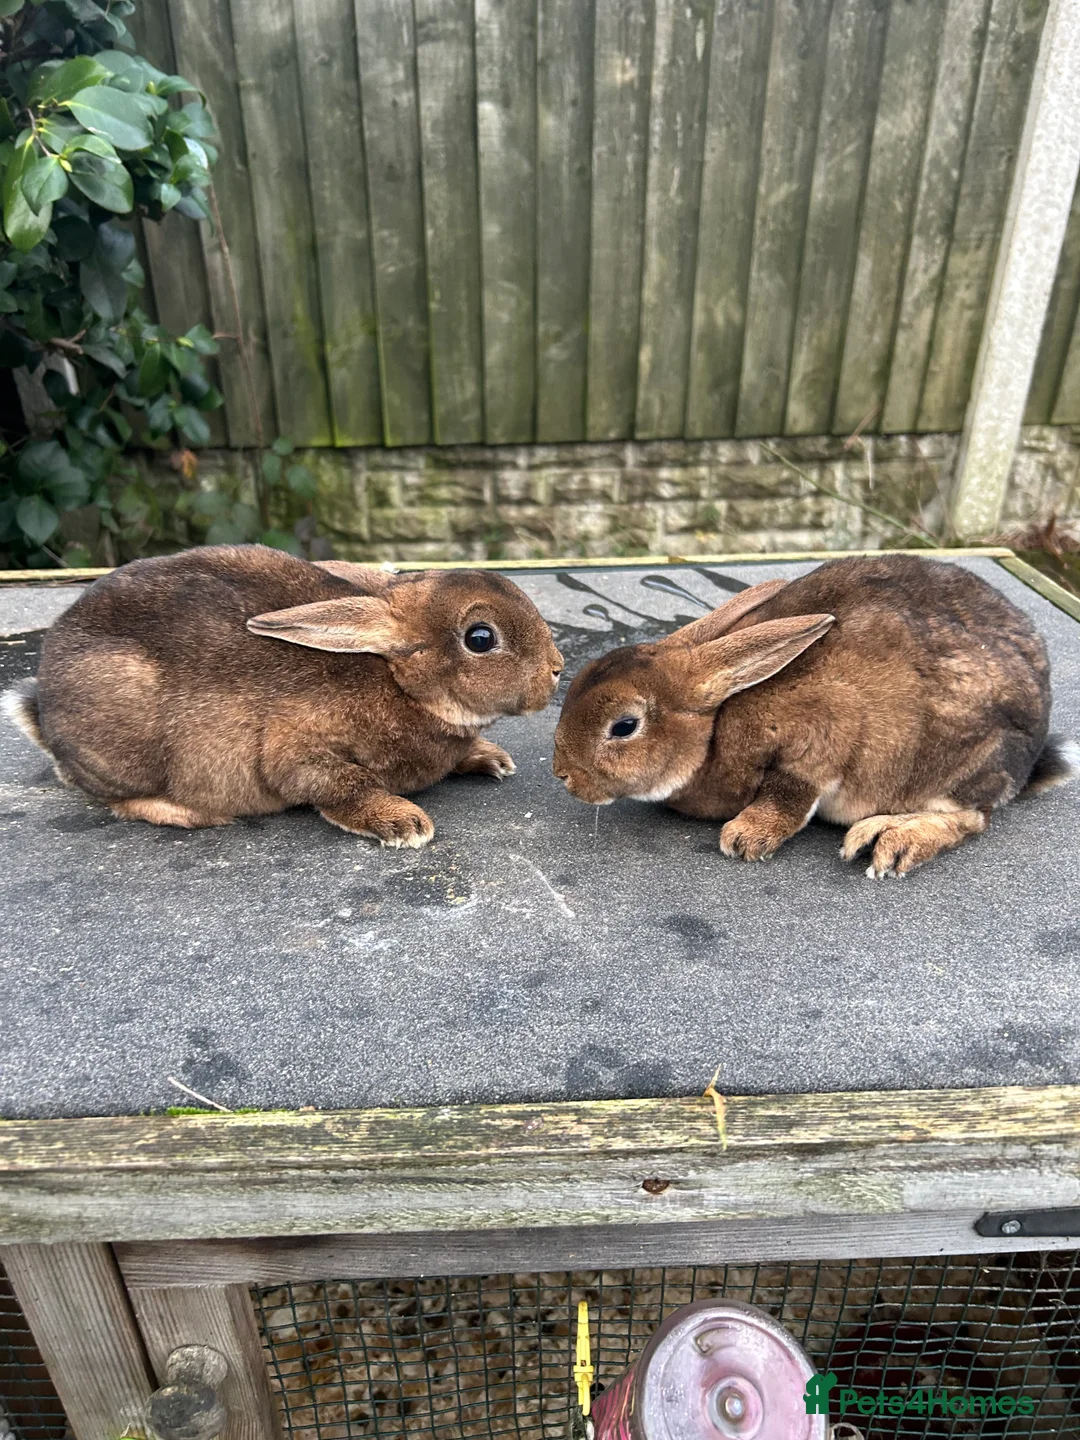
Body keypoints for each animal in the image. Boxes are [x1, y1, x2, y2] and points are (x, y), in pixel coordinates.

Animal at [2, 544, 563, 847]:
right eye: (481, 638)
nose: (557, 670)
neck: (398, 678)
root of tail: (43, 711)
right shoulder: (297, 748)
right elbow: (338, 783)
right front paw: (404, 823)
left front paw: (490, 758)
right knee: (110, 795)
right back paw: (192, 814)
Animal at [553, 554, 1078, 877]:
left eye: (624, 726)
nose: (563, 775)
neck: (716, 725)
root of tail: (1031, 758)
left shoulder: (817, 738)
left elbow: (791, 790)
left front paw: (746, 838)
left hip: (961, 764)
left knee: (973, 818)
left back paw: (891, 840)